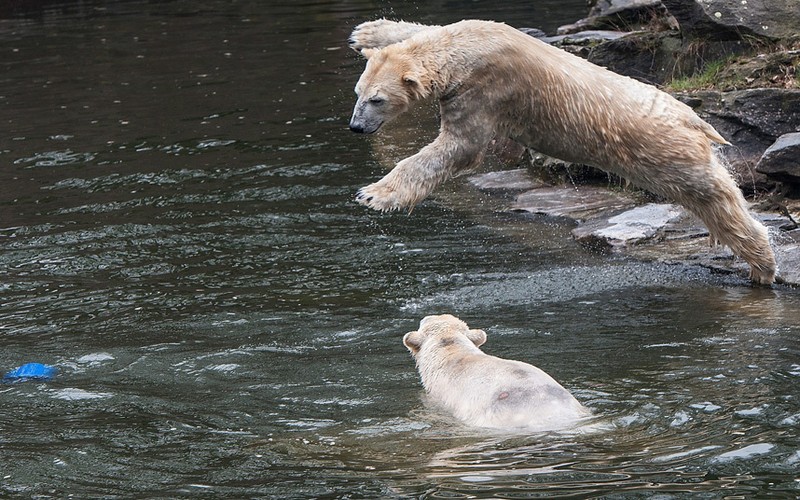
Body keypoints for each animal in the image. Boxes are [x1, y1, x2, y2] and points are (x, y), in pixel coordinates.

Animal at [348, 18, 776, 286]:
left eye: (377, 100)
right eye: (358, 93)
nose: (355, 127)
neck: (470, 54)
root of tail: (694, 120)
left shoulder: (485, 91)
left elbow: (458, 148)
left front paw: (375, 194)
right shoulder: (474, 31)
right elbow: (423, 28)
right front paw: (365, 32)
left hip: (664, 150)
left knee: (712, 195)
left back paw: (763, 264)